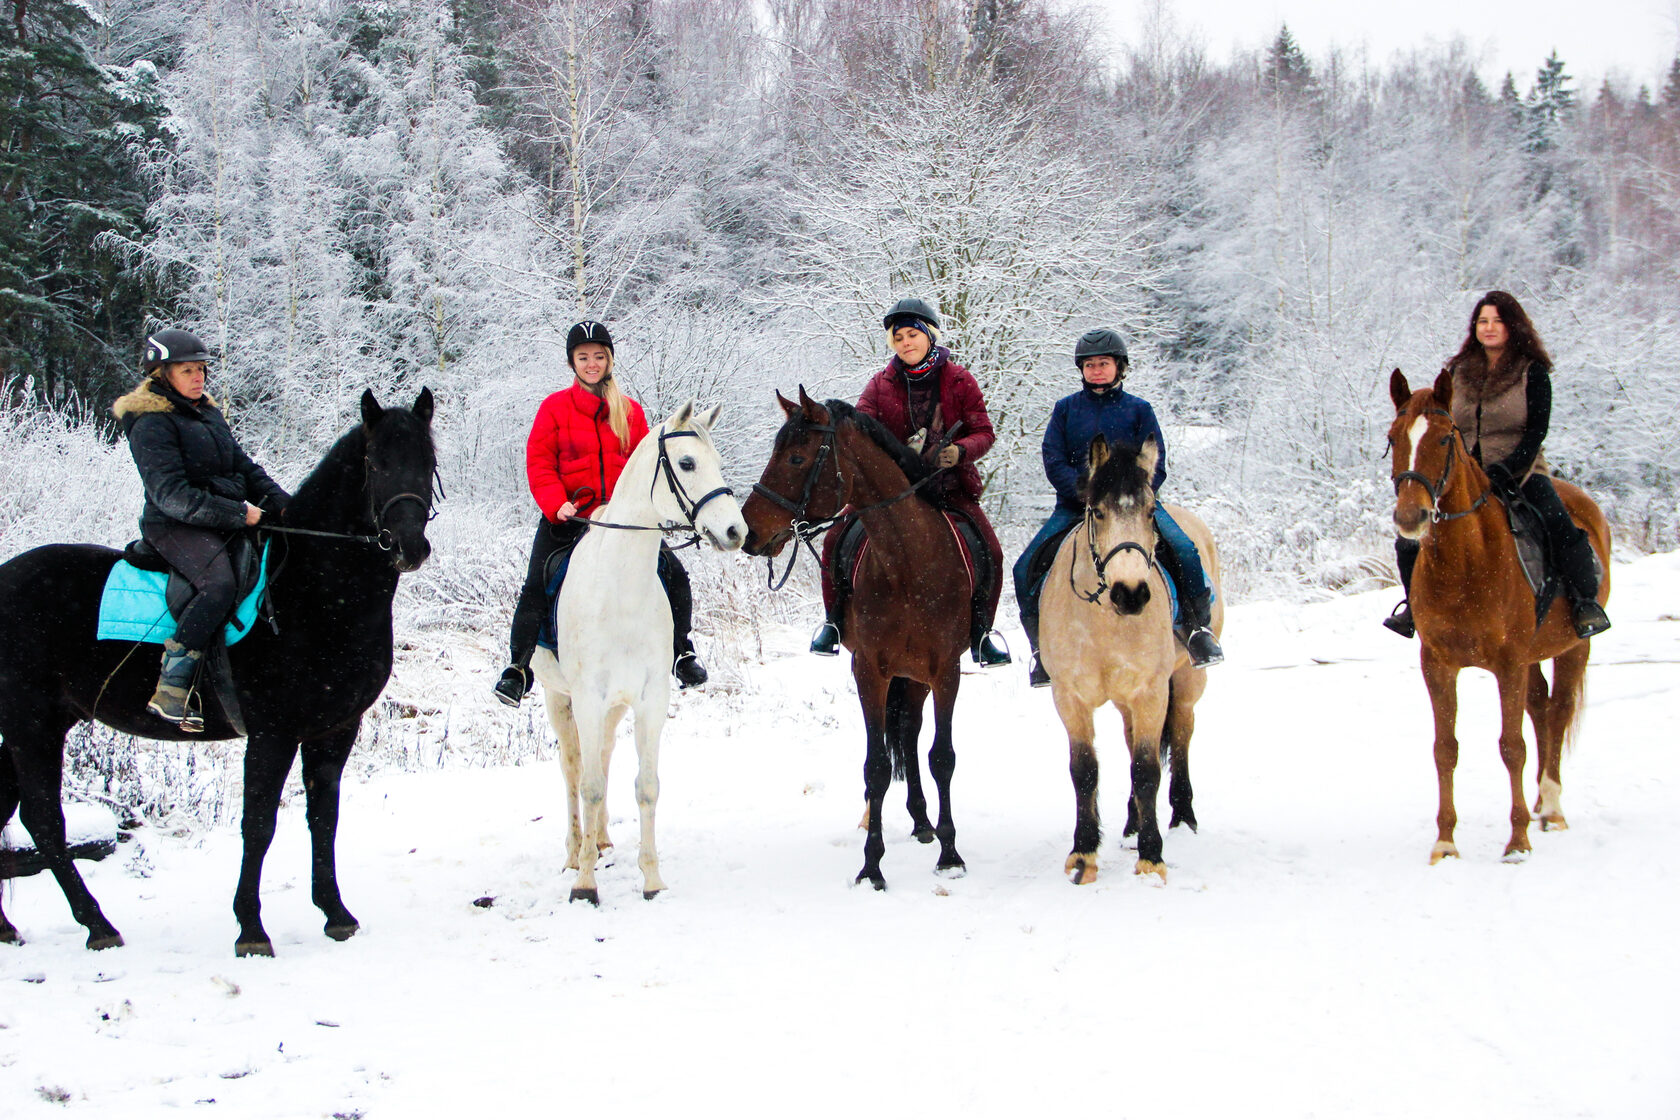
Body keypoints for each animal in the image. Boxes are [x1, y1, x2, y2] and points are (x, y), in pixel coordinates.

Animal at [0, 389, 440, 960]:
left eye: (427, 462)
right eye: (375, 463)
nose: (409, 546)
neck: (314, 591)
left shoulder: (334, 729)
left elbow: (324, 819)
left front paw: (335, 914)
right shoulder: (274, 733)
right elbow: (259, 824)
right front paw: (251, 928)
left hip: (34, 726)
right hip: (30, 726)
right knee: (44, 820)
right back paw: (97, 924)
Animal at [527, 401, 745, 900]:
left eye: (718, 460)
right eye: (687, 463)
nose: (735, 531)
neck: (620, 589)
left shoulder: (649, 701)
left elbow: (646, 786)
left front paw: (652, 880)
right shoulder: (586, 699)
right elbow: (587, 784)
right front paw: (585, 884)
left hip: (613, 707)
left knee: (604, 757)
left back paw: (602, 840)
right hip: (558, 697)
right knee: (573, 768)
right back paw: (576, 851)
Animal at [745, 389, 974, 886]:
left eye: (796, 457)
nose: (749, 532)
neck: (907, 563)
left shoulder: (946, 672)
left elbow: (943, 758)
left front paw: (951, 854)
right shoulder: (869, 671)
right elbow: (877, 767)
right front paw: (872, 864)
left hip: (919, 677)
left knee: (912, 733)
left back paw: (927, 825)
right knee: (904, 735)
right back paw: (917, 821)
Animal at [1034, 436, 1223, 886]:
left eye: (1150, 511)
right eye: (1098, 511)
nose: (1131, 593)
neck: (1105, 618)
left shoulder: (1150, 693)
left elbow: (1147, 768)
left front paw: (1152, 857)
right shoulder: (1069, 698)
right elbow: (1084, 770)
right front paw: (1084, 854)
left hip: (1186, 684)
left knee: (1183, 736)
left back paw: (1183, 818)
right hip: (1124, 703)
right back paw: (1133, 825)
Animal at [1384, 372, 1606, 866]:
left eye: (1444, 438)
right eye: (1392, 438)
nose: (1411, 517)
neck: (1465, 562)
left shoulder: (1507, 663)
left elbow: (1512, 747)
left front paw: (1517, 841)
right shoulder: (1438, 665)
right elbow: (1445, 749)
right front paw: (1446, 842)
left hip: (1574, 647)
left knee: (1558, 712)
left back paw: (1552, 807)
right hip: (1532, 657)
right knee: (1541, 708)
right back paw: (1541, 802)